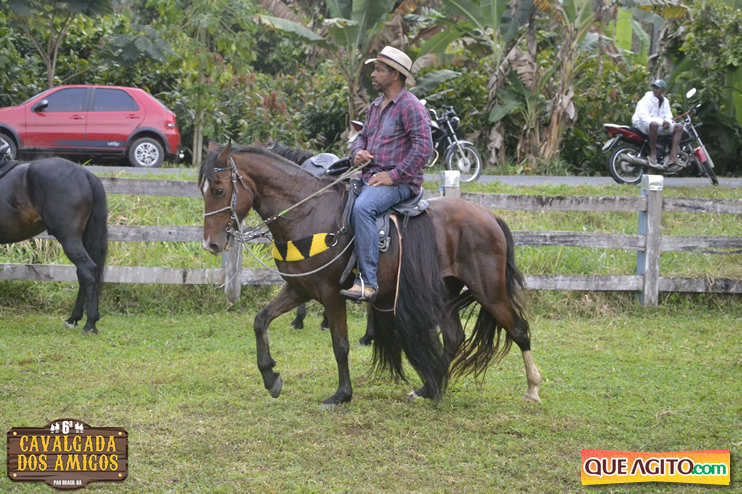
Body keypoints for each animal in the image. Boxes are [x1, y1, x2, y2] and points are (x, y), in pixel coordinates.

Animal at [0, 156, 108, 334]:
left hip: (69, 239)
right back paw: (74, 318)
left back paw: (90, 323)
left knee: (87, 269)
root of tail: (84, 173)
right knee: (83, 273)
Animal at [199, 141, 542, 407]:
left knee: (519, 329)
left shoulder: (330, 294)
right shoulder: (299, 289)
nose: (211, 244)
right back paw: (429, 388)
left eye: (219, 190)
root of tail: (490, 216)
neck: (307, 214)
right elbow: (260, 321)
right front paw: (271, 377)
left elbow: (340, 346)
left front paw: (342, 394)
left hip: (489, 289)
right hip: (446, 291)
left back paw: (532, 388)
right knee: (455, 336)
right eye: (203, 191)